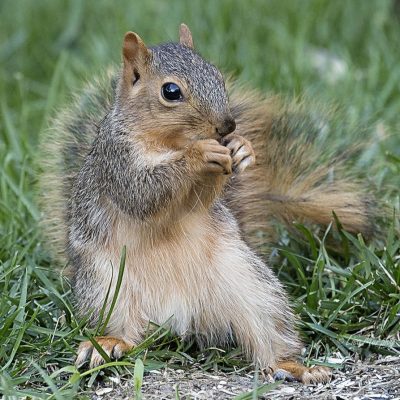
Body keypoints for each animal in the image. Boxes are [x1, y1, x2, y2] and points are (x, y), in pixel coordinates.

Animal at [37, 22, 376, 384]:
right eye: (171, 91)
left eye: (218, 75)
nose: (228, 126)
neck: (168, 143)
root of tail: (177, 316)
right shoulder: (116, 160)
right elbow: (142, 194)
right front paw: (198, 155)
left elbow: (198, 200)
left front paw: (241, 148)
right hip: (106, 287)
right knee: (125, 329)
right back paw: (109, 343)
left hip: (250, 285)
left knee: (268, 332)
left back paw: (295, 367)